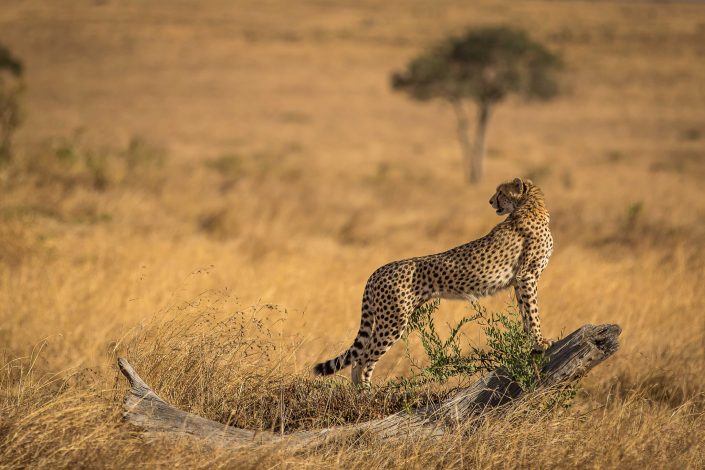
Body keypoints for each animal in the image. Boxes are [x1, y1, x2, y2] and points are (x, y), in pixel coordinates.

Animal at [314, 178, 556, 388]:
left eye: (501, 192)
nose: (490, 201)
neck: (530, 206)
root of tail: (378, 270)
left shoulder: (520, 280)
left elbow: (526, 312)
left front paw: (529, 344)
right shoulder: (527, 276)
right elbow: (533, 311)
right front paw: (540, 342)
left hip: (388, 319)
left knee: (360, 358)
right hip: (393, 320)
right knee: (363, 359)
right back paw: (365, 395)